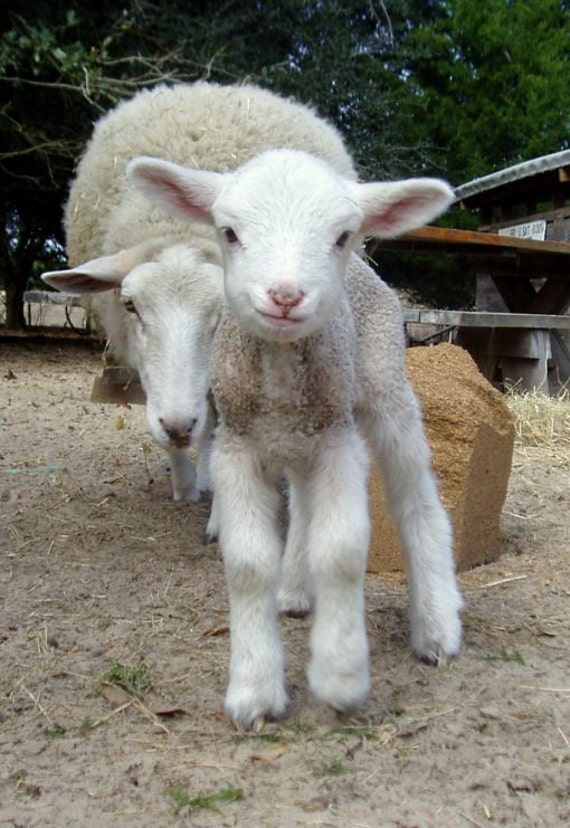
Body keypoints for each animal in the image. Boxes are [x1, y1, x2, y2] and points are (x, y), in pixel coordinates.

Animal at [42, 81, 357, 500]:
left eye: (224, 312)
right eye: (130, 305)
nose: (179, 427)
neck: (178, 227)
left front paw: (208, 473)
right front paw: (183, 485)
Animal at [127, 147, 465, 730]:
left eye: (341, 234)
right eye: (229, 232)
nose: (285, 295)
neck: (283, 374)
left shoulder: (338, 441)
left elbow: (343, 551)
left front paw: (341, 676)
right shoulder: (238, 445)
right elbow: (247, 563)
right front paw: (254, 690)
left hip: (383, 387)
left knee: (416, 499)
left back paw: (437, 626)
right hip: (300, 439)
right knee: (305, 508)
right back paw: (293, 590)